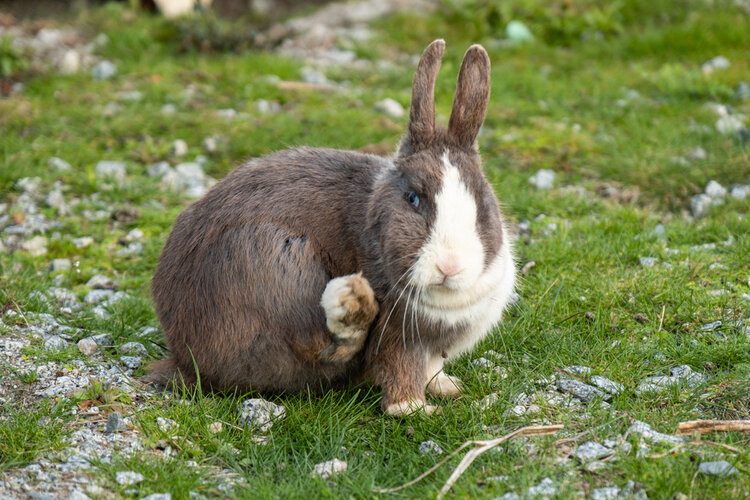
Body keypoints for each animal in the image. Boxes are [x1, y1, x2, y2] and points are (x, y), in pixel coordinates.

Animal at [149, 39, 517, 416]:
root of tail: (185, 354)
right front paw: (415, 409)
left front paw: (448, 388)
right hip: (276, 261)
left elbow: (432, 369)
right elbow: (401, 373)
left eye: (482, 202)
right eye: (413, 198)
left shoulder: (431, 352)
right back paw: (350, 305)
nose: (450, 266)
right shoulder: (398, 337)